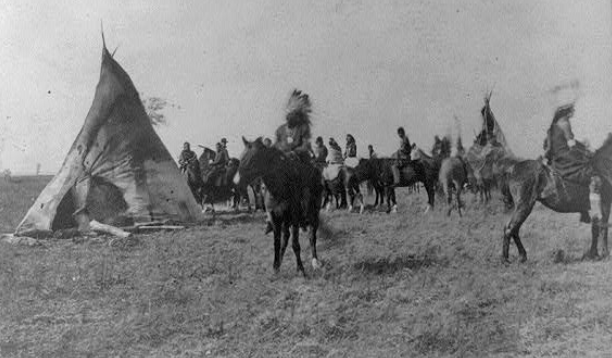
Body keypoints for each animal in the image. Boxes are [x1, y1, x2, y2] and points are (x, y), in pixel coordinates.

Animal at [233, 136, 322, 276]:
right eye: (241, 157)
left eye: (253, 159)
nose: (236, 182)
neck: (280, 187)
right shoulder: (275, 217)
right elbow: (277, 242)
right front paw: (275, 266)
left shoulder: (294, 217)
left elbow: (295, 244)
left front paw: (300, 268)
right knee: (286, 238)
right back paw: (280, 261)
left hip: (314, 214)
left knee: (312, 236)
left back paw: (315, 262)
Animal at [502, 134, 612, 262]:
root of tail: (512, 169)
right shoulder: (600, 205)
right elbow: (601, 227)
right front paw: (602, 253)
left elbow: (599, 227)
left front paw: (596, 253)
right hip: (524, 205)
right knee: (510, 228)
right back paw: (506, 259)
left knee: (514, 228)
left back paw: (521, 256)